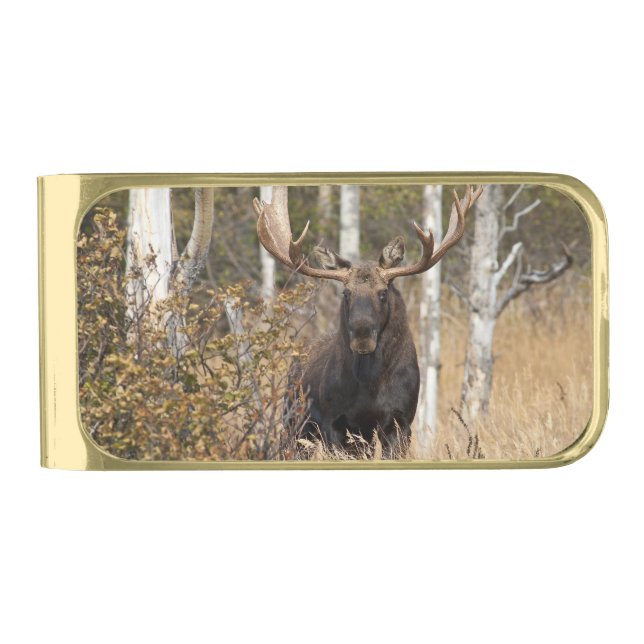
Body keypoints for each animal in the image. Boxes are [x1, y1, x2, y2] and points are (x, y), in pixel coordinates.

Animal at [253, 185, 482, 458]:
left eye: (383, 293)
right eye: (346, 293)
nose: (362, 337)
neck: (369, 386)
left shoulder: (400, 421)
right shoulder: (335, 423)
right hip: (294, 423)